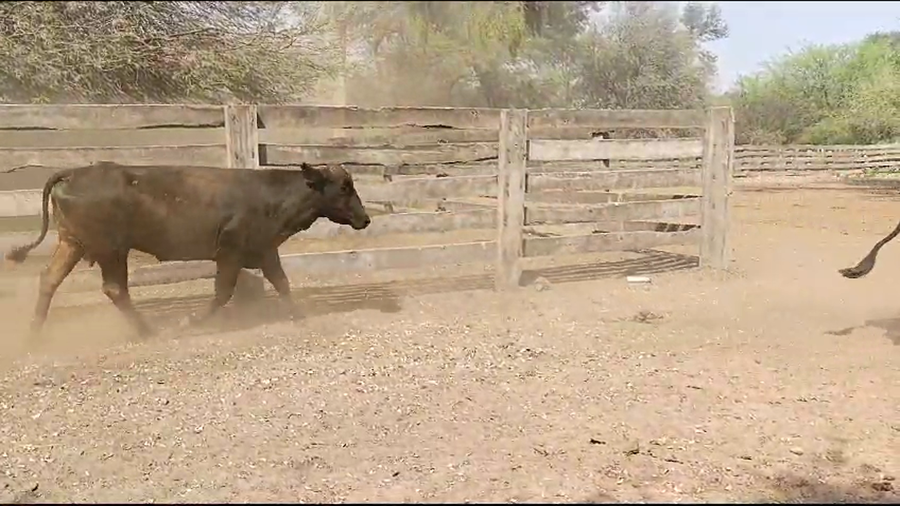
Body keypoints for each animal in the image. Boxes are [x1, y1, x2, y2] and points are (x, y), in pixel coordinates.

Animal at [5, 161, 371, 338]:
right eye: (344, 187)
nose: (365, 218)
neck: (269, 196)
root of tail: (75, 173)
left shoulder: (265, 250)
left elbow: (282, 283)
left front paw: (300, 316)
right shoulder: (230, 253)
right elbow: (223, 293)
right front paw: (191, 321)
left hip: (72, 243)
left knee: (49, 279)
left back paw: (34, 333)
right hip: (111, 250)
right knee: (115, 289)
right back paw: (149, 331)